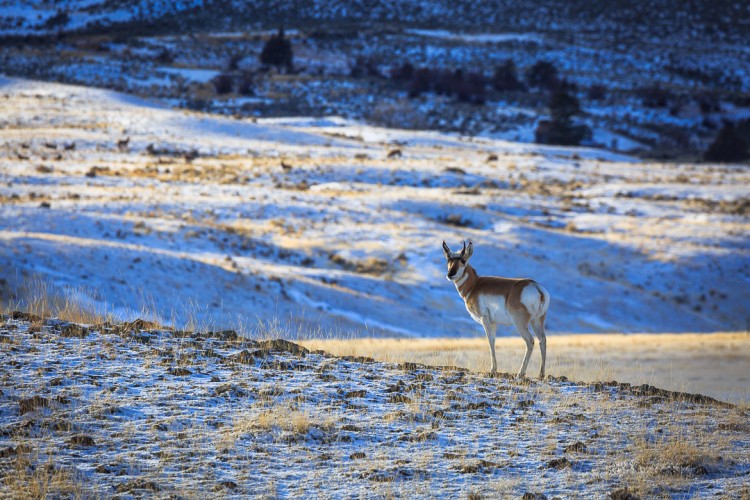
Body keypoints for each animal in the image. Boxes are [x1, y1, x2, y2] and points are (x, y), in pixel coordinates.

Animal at [440, 240, 552, 376]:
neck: (474, 285)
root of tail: (536, 287)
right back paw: (541, 374)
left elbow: (490, 342)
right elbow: (493, 341)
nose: (450, 274)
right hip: (537, 321)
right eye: (448, 259)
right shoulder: (494, 323)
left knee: (530, 341)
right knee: (543, 340)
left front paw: (493, 369)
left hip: (520, 323)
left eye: (463, 260)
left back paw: (520, 373)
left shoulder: (485, 320)